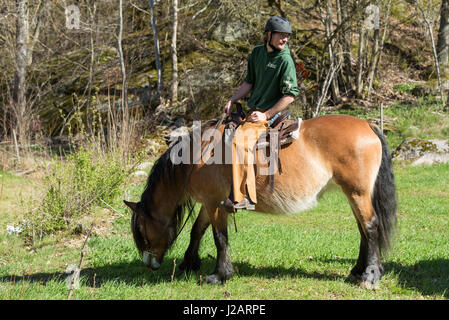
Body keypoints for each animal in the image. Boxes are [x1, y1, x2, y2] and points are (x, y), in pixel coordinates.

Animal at [123, 114, 396, 288]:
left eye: (141, 231)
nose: (149, 263)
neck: (198, 156)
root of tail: (368, 125)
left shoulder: (215, 203)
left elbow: (219, 238)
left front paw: (220, 275)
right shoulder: (209, 202)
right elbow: (197, 230)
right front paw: (189, 263)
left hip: (357, 192)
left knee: (370, 226)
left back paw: (370, 276)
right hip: (352, 193)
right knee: (362, 229)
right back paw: (357, 271)